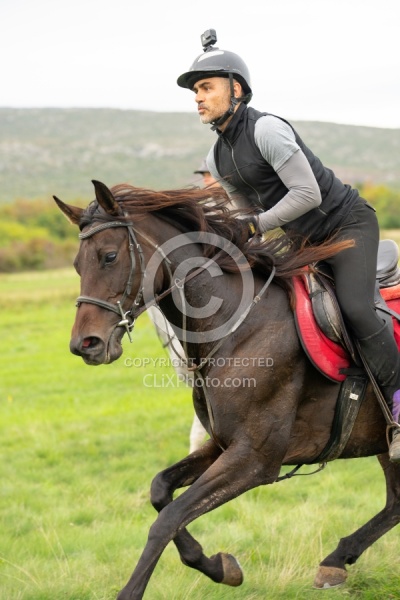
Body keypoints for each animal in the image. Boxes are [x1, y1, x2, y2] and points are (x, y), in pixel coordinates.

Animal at [54, 182, 400, 600]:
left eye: (108, 256)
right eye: (77, 265)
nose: (85, 345)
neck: (237, 326)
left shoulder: (254, 459)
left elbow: (168, 517)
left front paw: (135, 590)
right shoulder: (222, 444)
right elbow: (160, 492)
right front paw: (220, 567)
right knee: (397, 503)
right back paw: (335, 561)